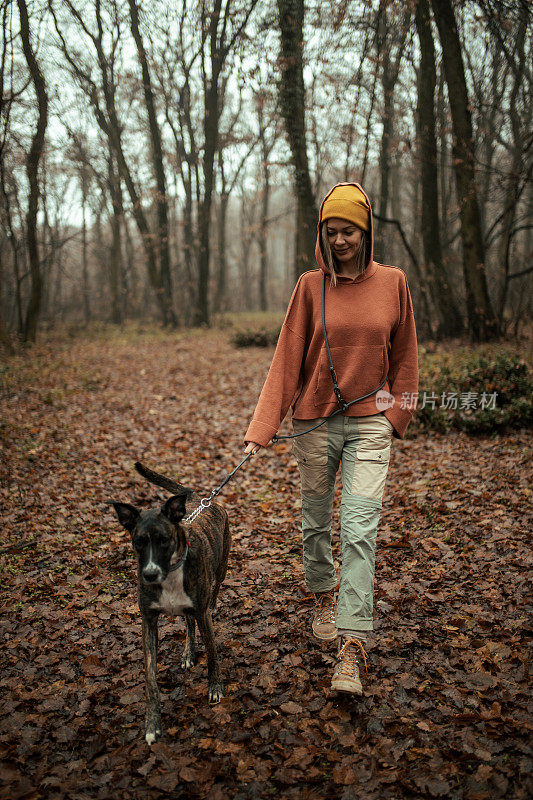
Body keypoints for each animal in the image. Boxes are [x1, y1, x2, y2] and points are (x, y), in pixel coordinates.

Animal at [109, 460, 230, 748]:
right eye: (138, 542)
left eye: (164, 540)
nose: (150, 574)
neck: (172, 570)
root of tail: (201, 499)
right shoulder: (148, 621)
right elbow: (151, 678)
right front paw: (152, 724)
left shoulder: (202, 610)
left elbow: (213, 654)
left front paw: (215, 687)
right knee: (188, 623)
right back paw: (188, 651)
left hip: (221, 568)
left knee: (212, 594)